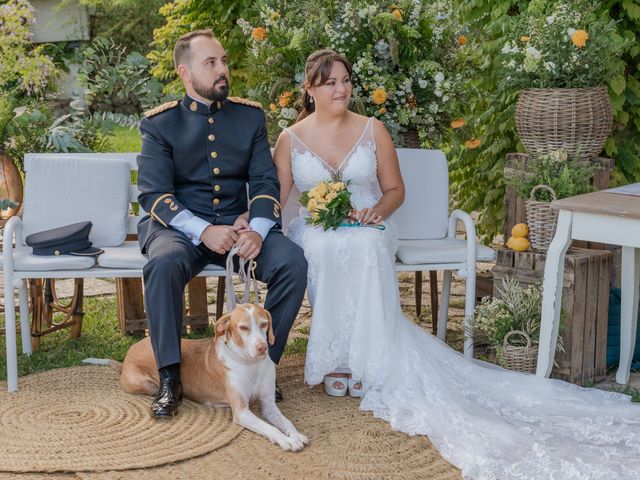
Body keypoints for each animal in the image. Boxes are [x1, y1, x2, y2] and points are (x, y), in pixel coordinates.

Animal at [85, 306, 310, 452]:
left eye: (264, 324)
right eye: (243, 328)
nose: (262, 347)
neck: (250, 365)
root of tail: (127, 357)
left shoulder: (268, 405)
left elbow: (286, 422)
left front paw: (295, 435)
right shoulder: (242, 412)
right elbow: (269, 427)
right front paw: (286, 441)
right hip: (146, 384)